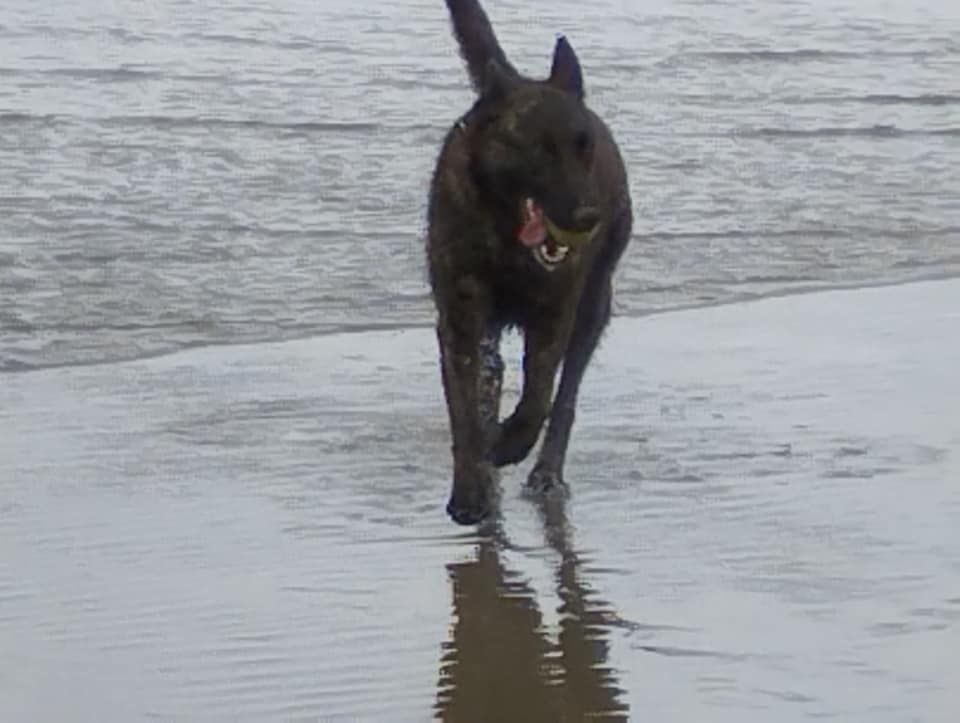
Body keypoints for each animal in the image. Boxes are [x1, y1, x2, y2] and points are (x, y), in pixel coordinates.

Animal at [426, 0, 632, 524]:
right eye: (540, 149)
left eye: (584, 146)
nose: (588, 217)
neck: (505, 232)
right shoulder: (458, 315)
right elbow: (463, 409)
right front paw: (469, 491)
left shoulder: (556, 310)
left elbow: (539, 392)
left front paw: (509, 443)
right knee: (492, 373)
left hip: (595, 305)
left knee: (566, 395)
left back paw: (545, 473)